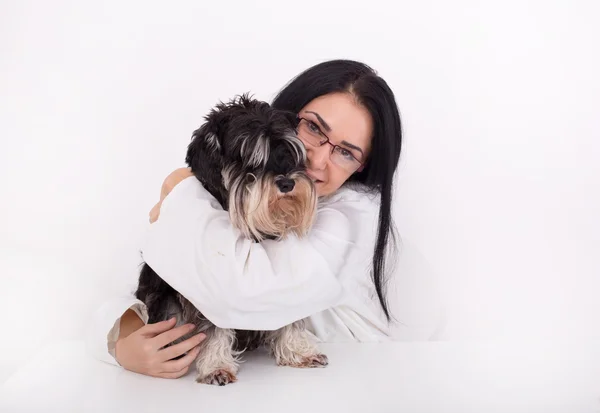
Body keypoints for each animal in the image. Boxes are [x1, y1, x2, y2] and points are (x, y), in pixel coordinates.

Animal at [135, 95, 328, 384]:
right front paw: (216, 366)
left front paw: (299, 351)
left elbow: (289, 312)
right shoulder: (209, 284)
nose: (287, 183)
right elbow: (215, 325)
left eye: (288, 150)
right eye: (248, 158)